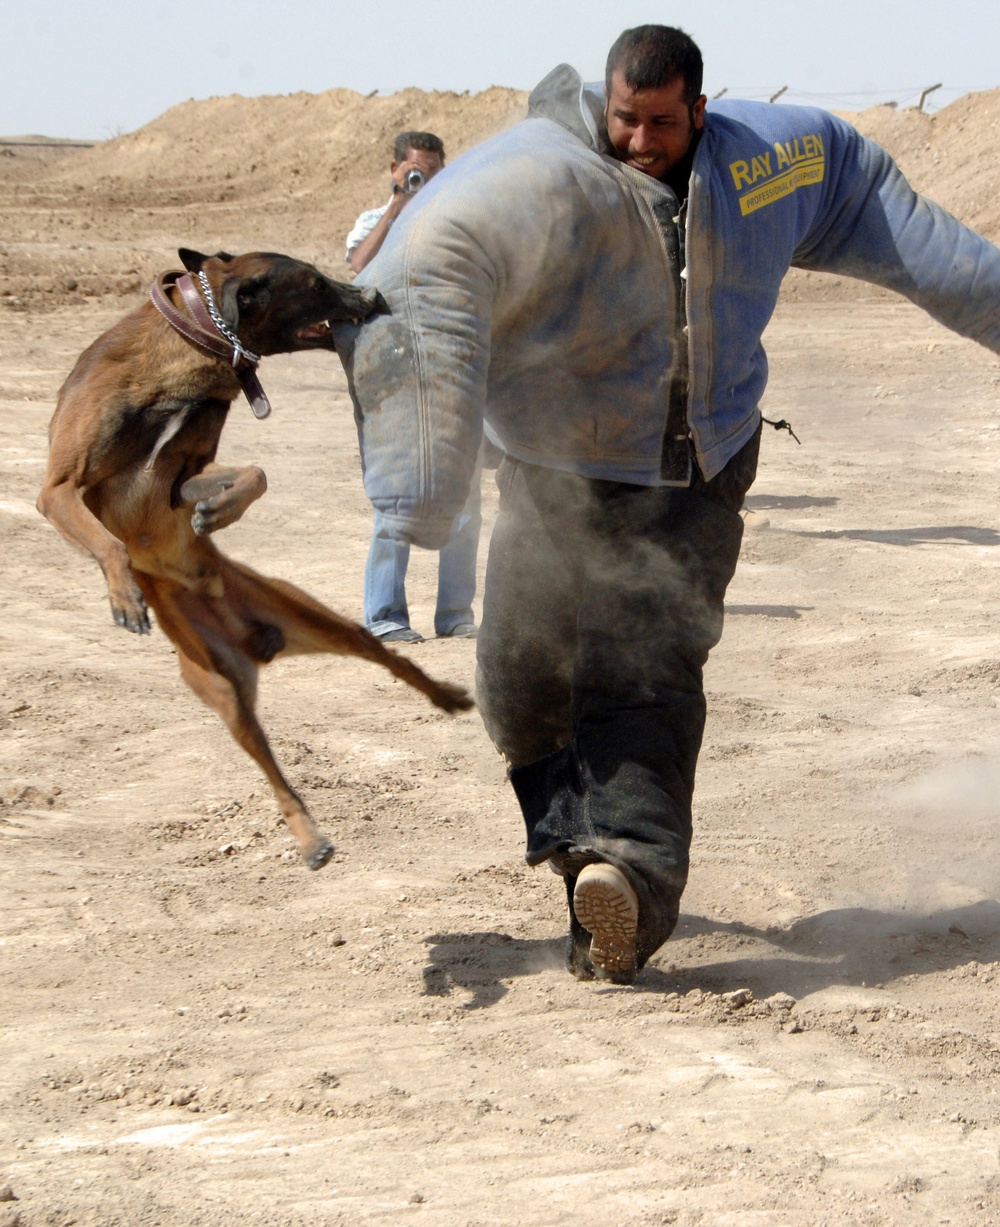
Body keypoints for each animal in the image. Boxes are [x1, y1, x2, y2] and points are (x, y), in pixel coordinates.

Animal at [37, 244, 476, 868]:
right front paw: (124, 595)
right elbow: (112, 543)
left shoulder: (183, 475)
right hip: (219, 687)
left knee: (387, 657)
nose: (371, 295)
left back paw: (446, 695)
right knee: (275, 773)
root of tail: (252, 638)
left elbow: (256, 474)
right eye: (314, 283)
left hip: (322, 621)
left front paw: (218, 515)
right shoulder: (58, 490)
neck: (188, 352)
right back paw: (310, 838)